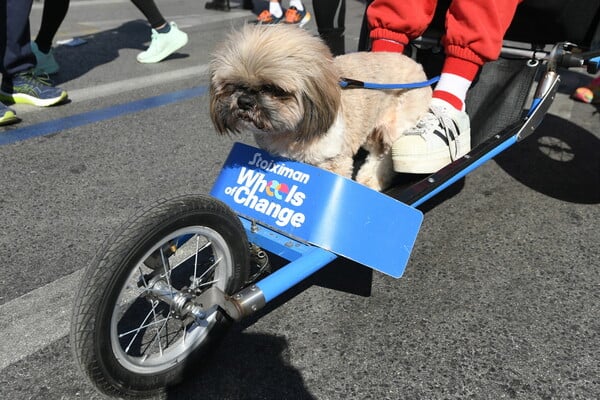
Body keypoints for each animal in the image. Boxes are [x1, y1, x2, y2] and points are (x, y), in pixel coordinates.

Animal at [210, 24, 432, 191]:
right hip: (370, 130)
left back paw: (374, 179)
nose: (244, 101)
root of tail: (417, 65)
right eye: (233, 85)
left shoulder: (332, 162)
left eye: (271, 88)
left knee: (387, 156)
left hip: (394, 126)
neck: (288, 134)